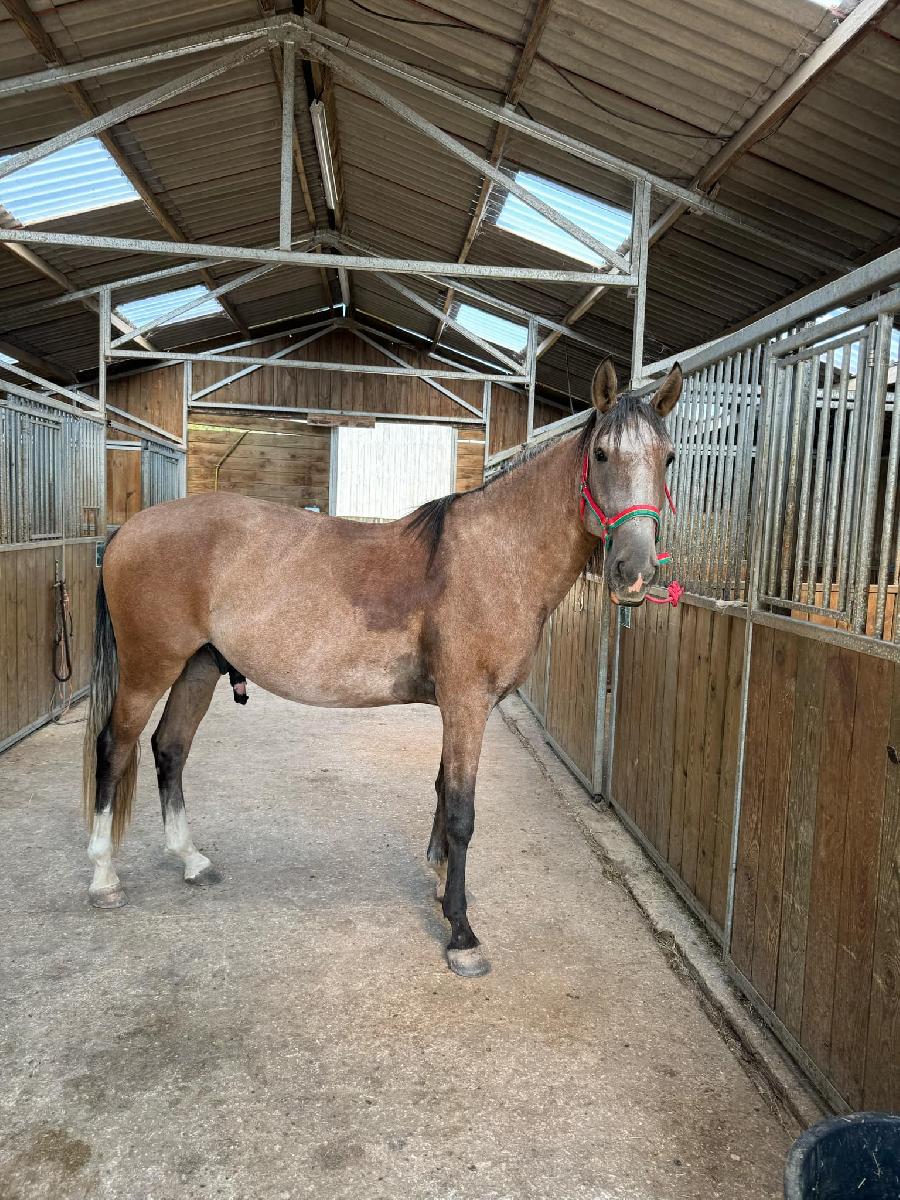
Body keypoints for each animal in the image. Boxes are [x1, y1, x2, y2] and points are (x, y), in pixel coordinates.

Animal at [83, 358, 682, 977]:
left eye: (668, 457)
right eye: (602, 454)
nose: (634, 571)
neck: (496, 556)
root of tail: (127, 531)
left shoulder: (461, 705)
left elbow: (443, 789)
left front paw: (440, 884)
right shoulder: (467, 701)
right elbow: (462, 809)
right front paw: (462, 934)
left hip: (198, 667)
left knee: (169, 749)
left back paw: (191, 860)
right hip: (150, 668)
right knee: (114, 748)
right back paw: (104, 878)